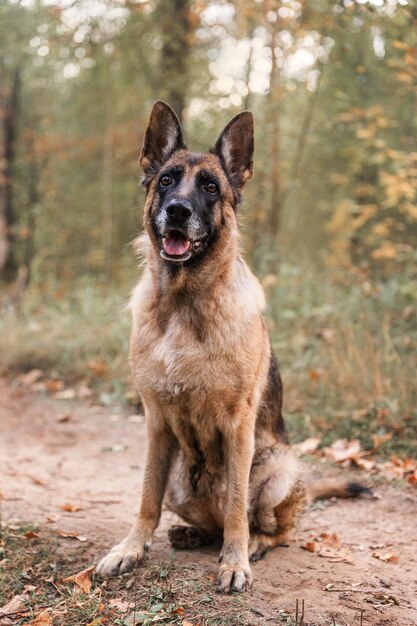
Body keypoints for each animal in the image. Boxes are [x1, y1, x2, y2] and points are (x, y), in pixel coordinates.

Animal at [95, 101, 368, 588]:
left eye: (210, 186)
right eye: (166, 180)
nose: (178, 211)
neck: (184, 303)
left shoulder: (238, 425)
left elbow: (238, 504)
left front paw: (235, 561)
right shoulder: (156, 421)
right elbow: (146, 496)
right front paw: (131, 548)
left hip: (279, 469)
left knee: (271, 528)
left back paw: (253, 543)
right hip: (180, 485)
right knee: (206, 519)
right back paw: (192, 534)